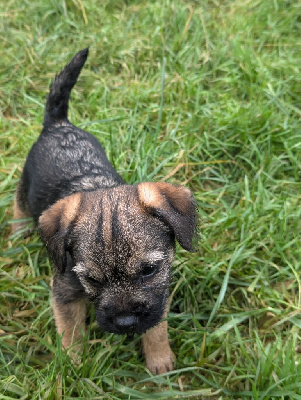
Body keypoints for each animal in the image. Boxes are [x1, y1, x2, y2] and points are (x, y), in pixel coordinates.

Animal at [13, 47, 197, 376]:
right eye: (93, 280)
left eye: (149, 270)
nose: (125, 322)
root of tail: (58, 124)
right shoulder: (64, 293)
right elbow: (71, 331)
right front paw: (73, 365)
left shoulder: (159, 293)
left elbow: (157, 326)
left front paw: (159, 360)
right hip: (24, 186)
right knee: (17, 205)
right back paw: (18, 232)